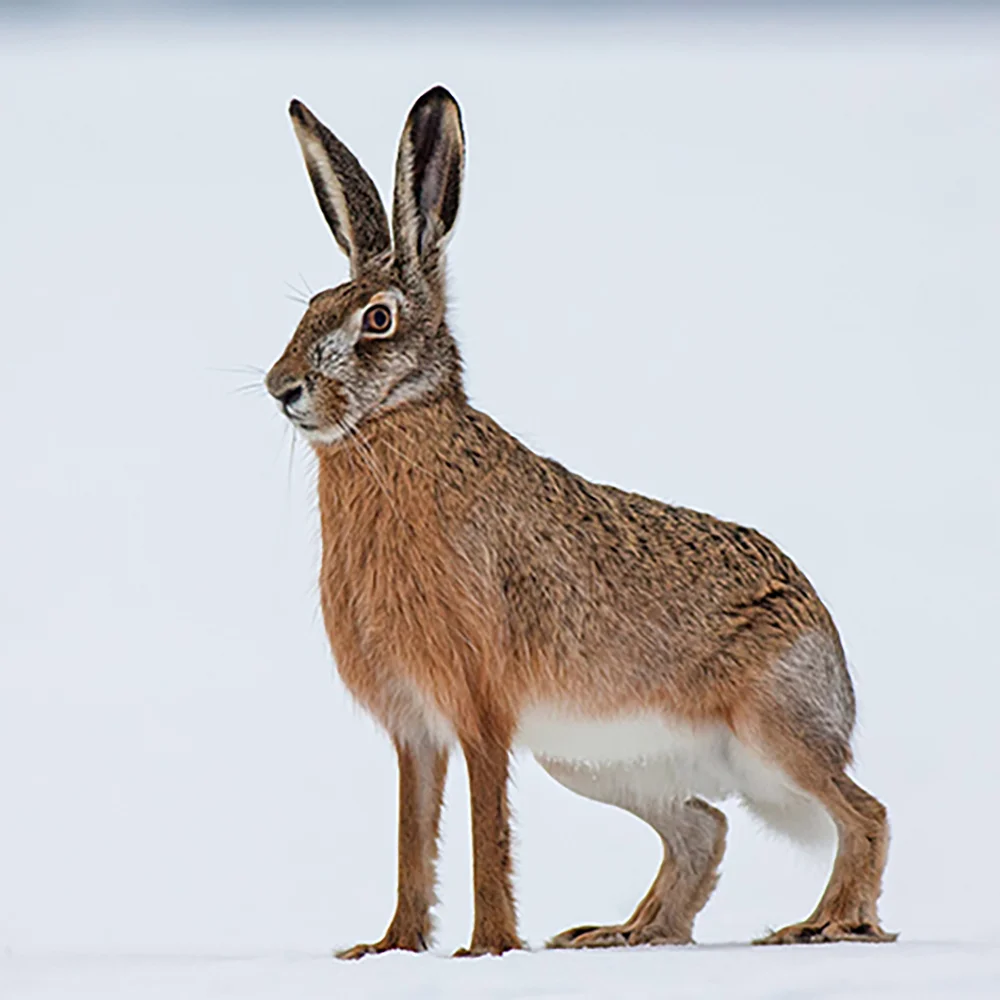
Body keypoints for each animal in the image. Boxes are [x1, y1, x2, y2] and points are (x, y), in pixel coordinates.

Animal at [265, 85, 896, 958]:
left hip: (772, 730)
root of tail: (831, 663)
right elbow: (410, 837)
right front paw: (389, 948)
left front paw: (488, 948)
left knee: (863, 812)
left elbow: (485, 830)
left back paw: (826, 924)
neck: (395, 428)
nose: (280, 387)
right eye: (312, 308)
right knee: (703, 827)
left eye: (378, 321)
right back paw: (626, 933)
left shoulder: (480, 708)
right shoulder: (414, 730)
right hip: (599, 763)